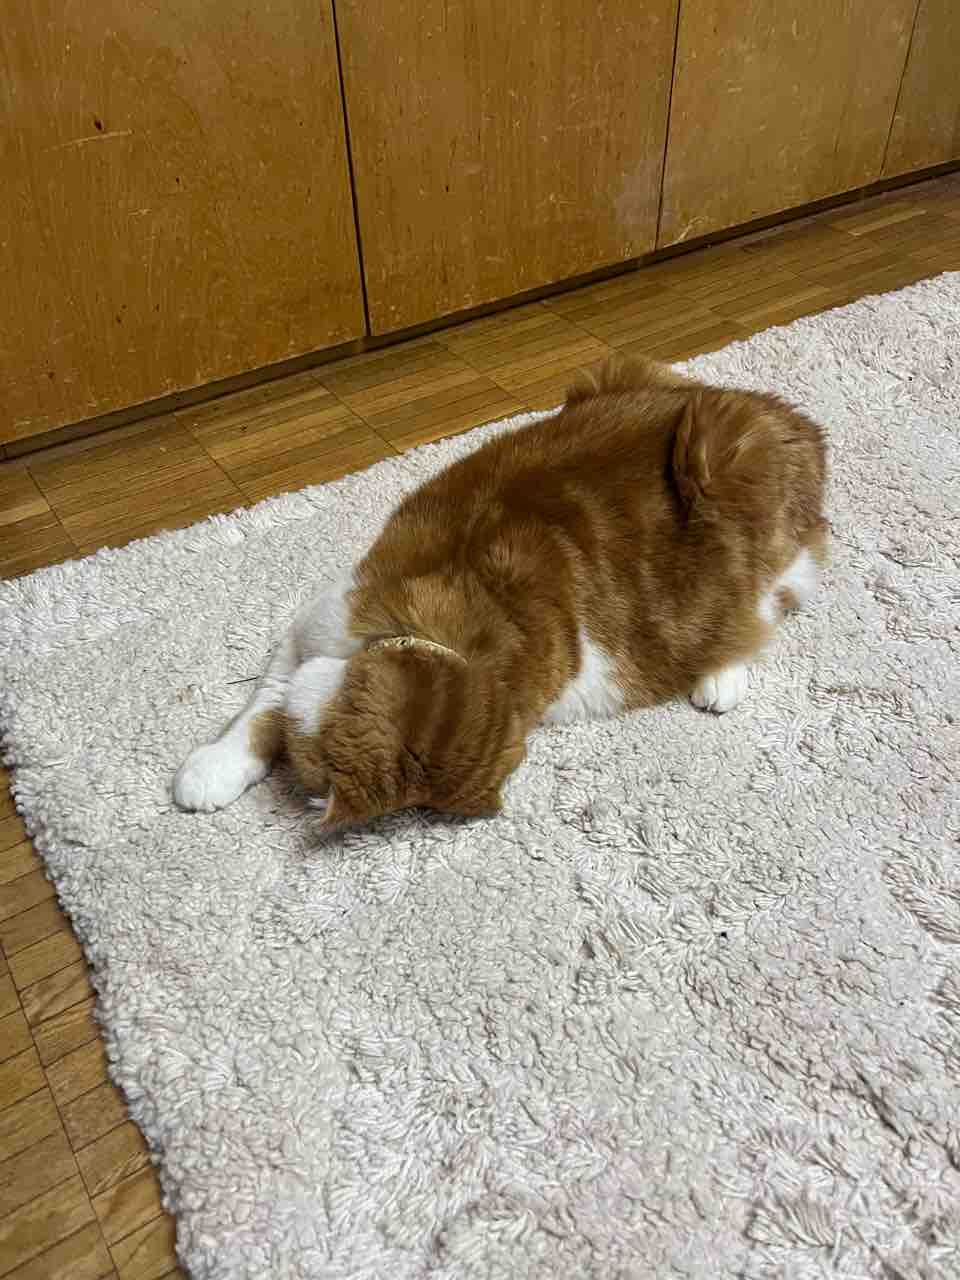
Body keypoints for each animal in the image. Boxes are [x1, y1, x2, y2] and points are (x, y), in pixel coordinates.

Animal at [173, 355, 827, 830]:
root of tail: (791, 418)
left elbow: (275, 705)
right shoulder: (311, 628)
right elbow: (258, 711)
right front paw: (213, 769)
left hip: (725, 479)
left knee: (769, 603)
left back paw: (721, 672)